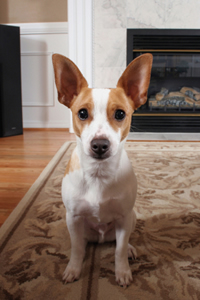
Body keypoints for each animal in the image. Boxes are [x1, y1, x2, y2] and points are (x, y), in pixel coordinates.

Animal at [52, 52, 152, 288]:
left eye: (120, 114)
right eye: (82, 113)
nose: (99, 145)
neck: (98, 174)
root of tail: (100, 237)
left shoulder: (124, 218)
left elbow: (119, 250)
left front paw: (122, 271)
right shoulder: (73, 218)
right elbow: (76, 249)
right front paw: (74, 268)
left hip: (131, 218)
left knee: (120, 242)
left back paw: (131, 249)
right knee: (82, 243)